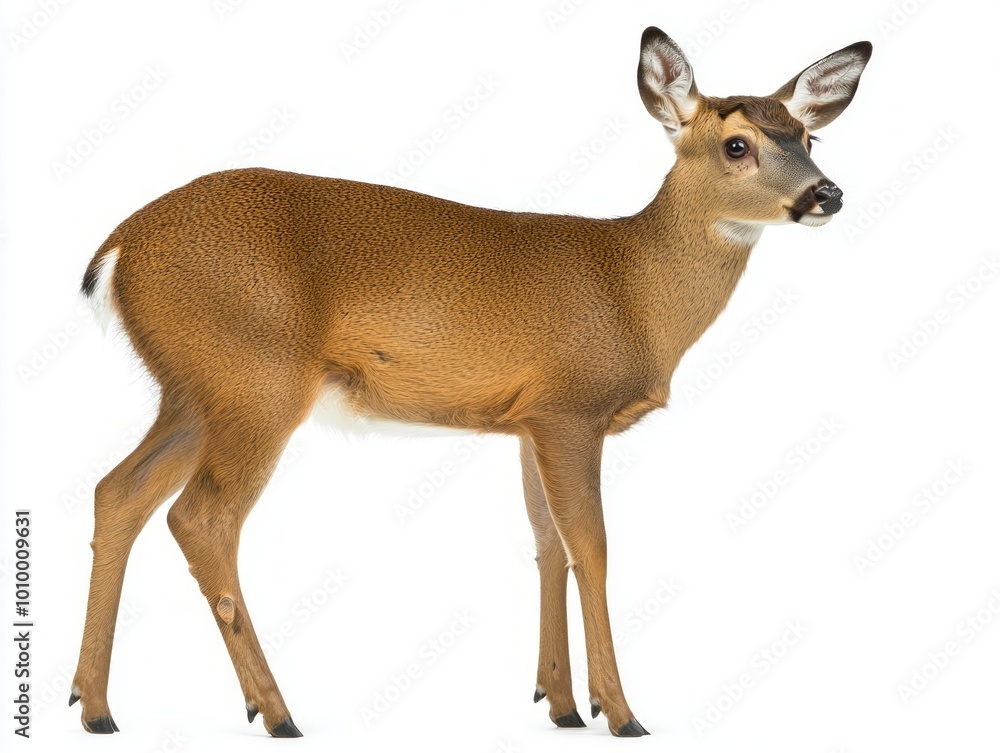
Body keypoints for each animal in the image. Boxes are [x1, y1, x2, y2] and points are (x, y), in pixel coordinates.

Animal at [70, 27, 872, 738]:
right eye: (737, 144)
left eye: (808, 137)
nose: (827, 195)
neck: (634, 286)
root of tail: (119, 246)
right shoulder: (571, 409)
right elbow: (592, 546)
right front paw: (621, 712)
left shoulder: (527, 421)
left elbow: (547, 543)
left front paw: (561, 703)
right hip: (254, 380)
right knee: (200, 517)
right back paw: (276, 712)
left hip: (192, 389)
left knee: (119, 490)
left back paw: (96, 705)